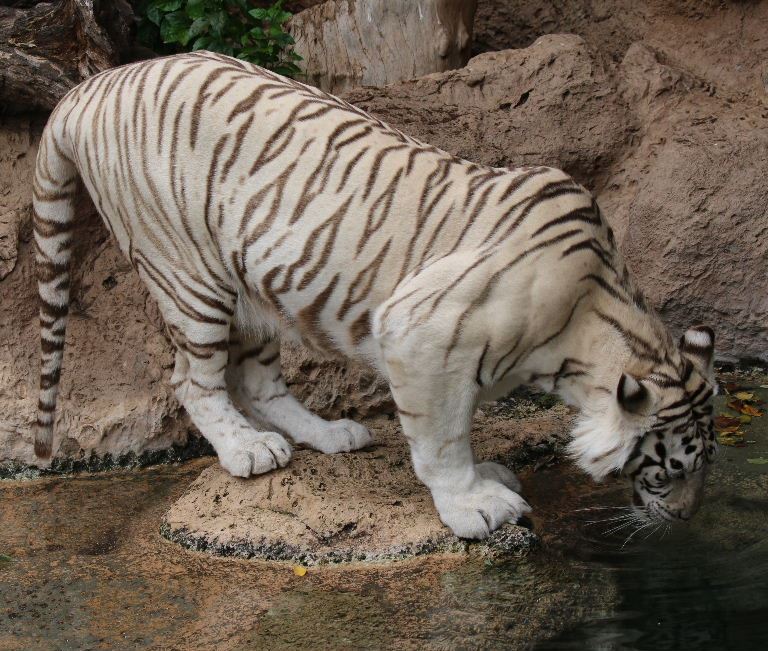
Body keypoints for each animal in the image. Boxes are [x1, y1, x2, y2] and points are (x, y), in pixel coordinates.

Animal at [31, 51, 718, 540]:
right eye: (670, 470)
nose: (687, 519)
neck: (594, 320)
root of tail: (92, 84)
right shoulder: (423, 334)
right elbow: (443, 438)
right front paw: (473, 504)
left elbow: (459, 426)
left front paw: (484, 480)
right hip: (189, 275)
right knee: (192, 380)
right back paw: (247, 449)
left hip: (251, 287)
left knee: (257, 380)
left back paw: (327, 435)